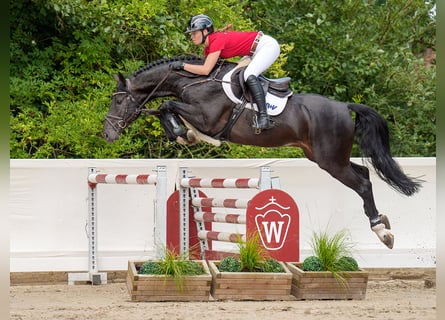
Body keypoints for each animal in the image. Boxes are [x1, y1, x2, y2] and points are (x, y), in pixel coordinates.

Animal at [103, 55, 420, 250]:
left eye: (118, 102)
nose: (107, 134)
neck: (193, 80)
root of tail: (344, 106)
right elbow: (166, 109)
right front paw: (184, 135)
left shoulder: (207, 118)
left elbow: (167, 106)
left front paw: (185, 134)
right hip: (324, 158)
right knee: (364, 172)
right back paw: (382, 223)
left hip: (331, 161)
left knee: (363, 183)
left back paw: (382, 232)